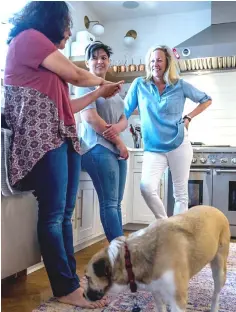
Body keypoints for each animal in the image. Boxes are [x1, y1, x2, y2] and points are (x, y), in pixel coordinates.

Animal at [85, 206, 230, 310]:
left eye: (87, 277)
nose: (83, 295)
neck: (128, 259)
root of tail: (217, 210)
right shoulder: (156, 292)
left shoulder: (178, 300)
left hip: (219, 270)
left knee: (216, 295)